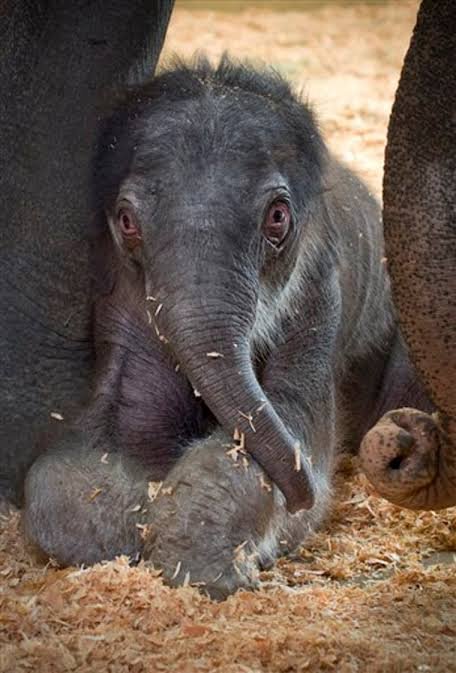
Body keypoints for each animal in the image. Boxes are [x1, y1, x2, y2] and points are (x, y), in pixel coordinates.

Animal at [22, 56, 429, 599]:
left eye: (277, 217)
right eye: (127, 221)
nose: (303, 494)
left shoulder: (320, 293)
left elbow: (291, 420)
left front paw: (206, 564)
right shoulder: (120, 299)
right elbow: (88, 451)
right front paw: (136, 531)